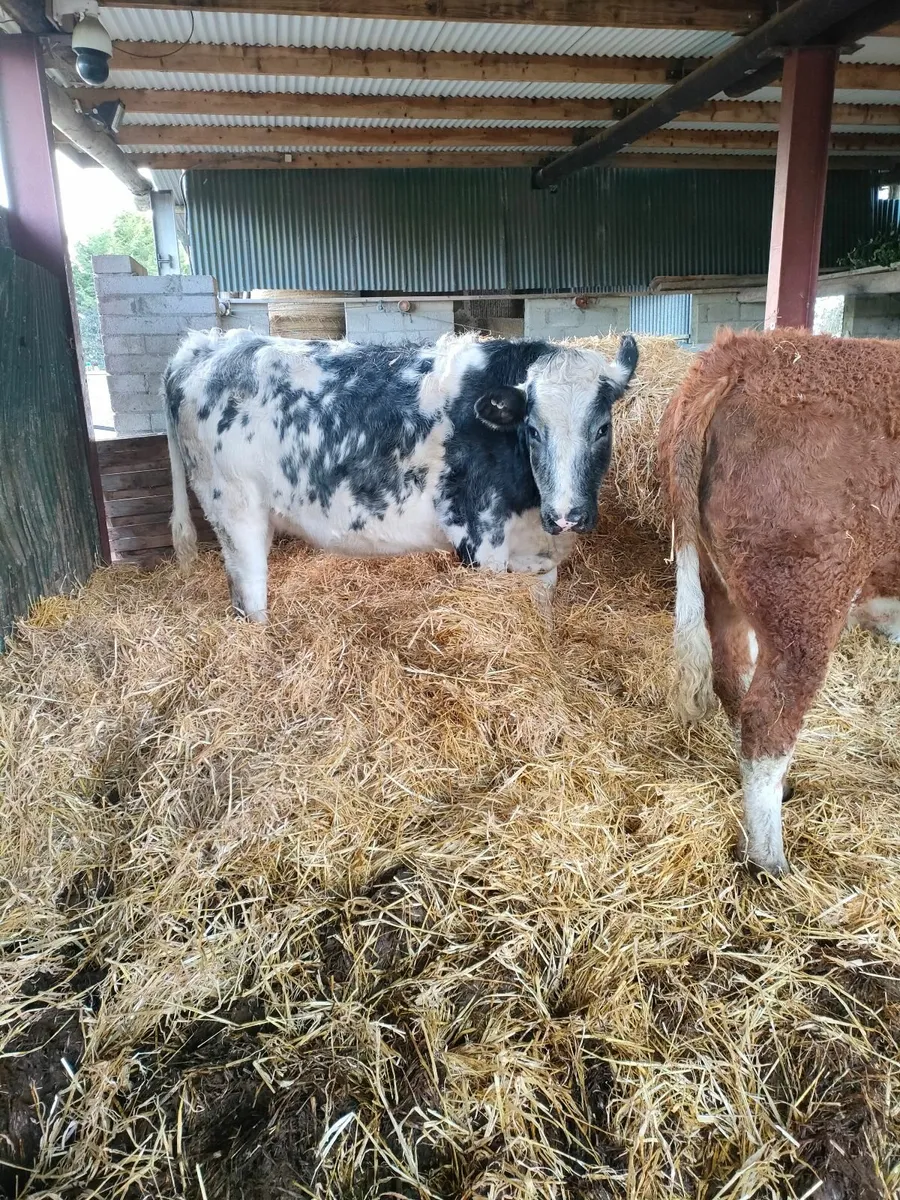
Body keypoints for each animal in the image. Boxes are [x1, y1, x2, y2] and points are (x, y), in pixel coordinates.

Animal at [164, 328, 639, 622]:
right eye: (534, 430)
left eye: (602, 428)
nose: (567, 515)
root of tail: (207, 345)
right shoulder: (479, 536)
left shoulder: (538, 555)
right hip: (234, 509)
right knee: (250, 593)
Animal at [659, 327, 900, 878]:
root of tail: (741, 353)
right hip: (807, 596)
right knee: (767, 718)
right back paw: (769, 861)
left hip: (723, 583)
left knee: (733, 678)